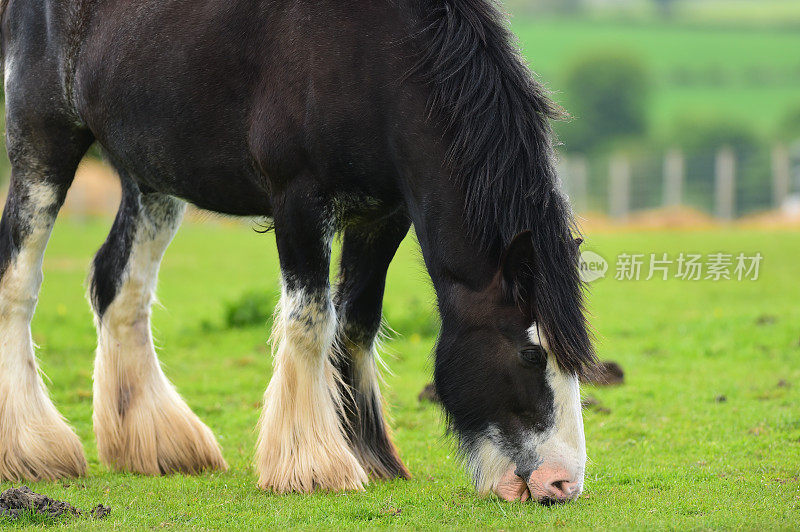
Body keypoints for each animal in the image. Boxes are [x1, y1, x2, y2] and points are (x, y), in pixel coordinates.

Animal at [0, 0, 592, 500]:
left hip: (151, 177)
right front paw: (313, 465)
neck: (374, 56)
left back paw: (156, 442)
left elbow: (356, 323)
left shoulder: (383, 215)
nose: (562, 484)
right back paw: (31, 448)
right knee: (19, 279)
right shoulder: (299, 201)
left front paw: (367, 454)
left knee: (119, 289)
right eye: (532, 353)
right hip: (43, 141)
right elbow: (310, 320)